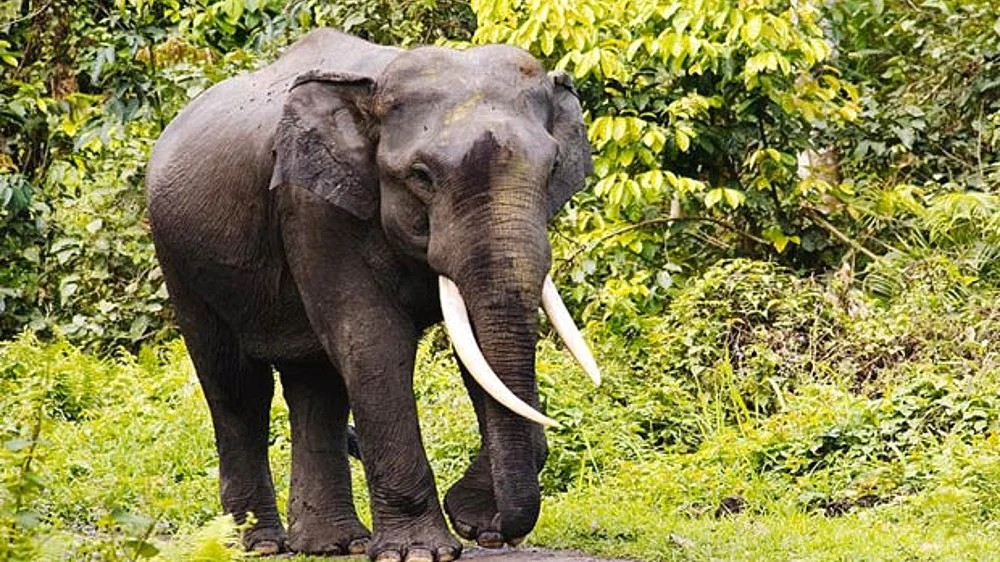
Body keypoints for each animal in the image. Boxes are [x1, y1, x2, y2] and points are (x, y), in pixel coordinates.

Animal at [145, 28, 600, 562]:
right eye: (422, 175)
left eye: (553, 169)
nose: (492, 530)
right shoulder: (313, 205)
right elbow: (372, 342)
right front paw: (421, 552)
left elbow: (474, 355)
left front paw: (469, 521)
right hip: (181, 260)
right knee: (237, 386)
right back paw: (261, 545)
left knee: (315, 384)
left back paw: (334, 544)